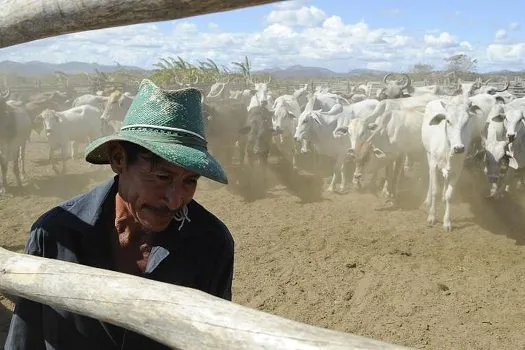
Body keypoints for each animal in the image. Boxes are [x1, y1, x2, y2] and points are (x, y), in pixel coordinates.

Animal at [420, 97, 482, 231]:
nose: (459, 148)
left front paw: (447, 222)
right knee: (430, 179)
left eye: (466, 121)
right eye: (448, 121)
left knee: (445, 180)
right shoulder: (434, 164)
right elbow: (435, 191)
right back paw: (427, 200)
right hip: (428, 154)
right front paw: (431, 217)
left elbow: (450, 195)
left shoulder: (457, 170)